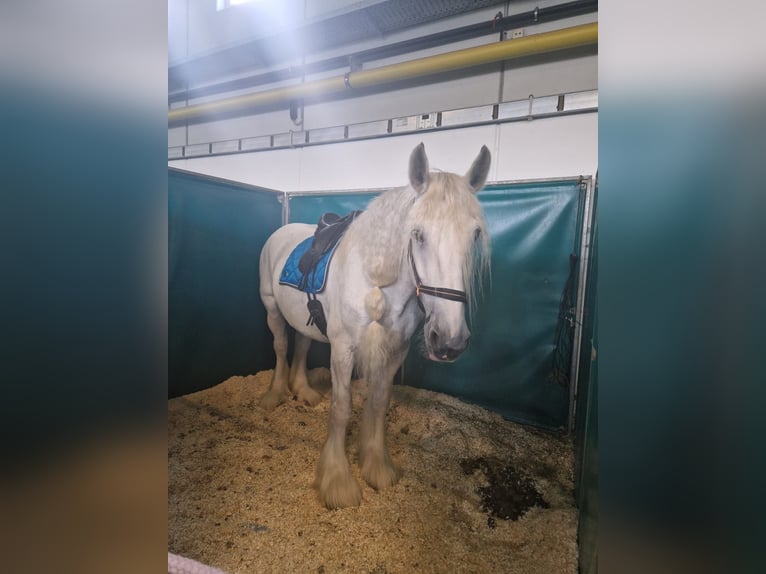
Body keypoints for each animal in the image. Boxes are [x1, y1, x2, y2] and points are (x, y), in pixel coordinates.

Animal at [258, 143, 491, 509]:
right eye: (417, 234)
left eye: (475, 234)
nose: (449, 341)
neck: (377, 278)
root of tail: (281, 232)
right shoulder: (344, 350)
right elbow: (342, 409)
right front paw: (337, 480)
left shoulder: (395, 350)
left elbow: (379, 404)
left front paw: (377, 466)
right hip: (271, 308)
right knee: (281, 346)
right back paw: (276, 393)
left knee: (303, 344)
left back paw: (304, 390)